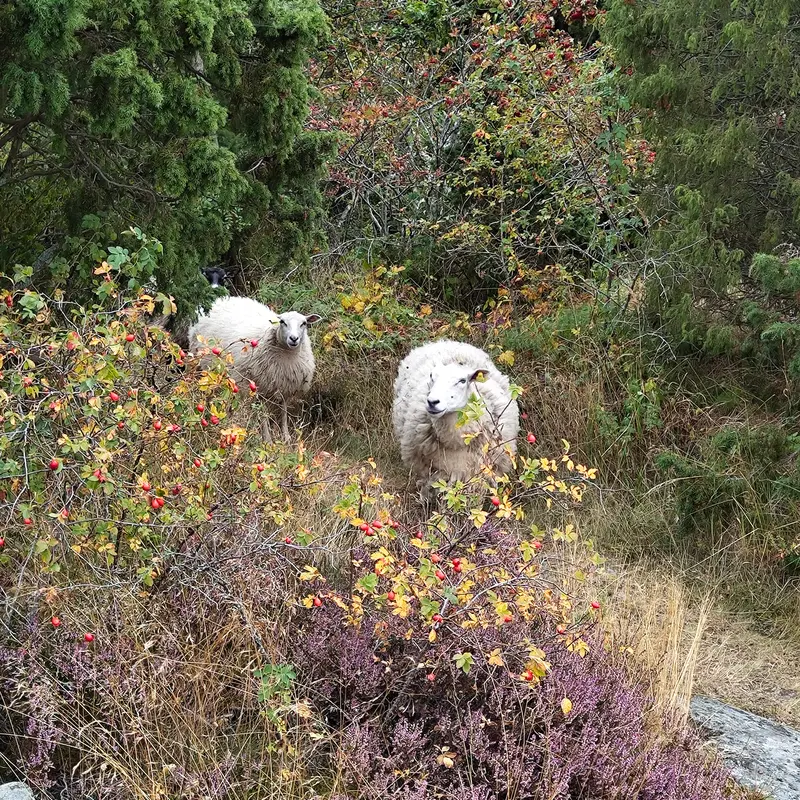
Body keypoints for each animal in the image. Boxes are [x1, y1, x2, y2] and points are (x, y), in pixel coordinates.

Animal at [188, 296, 321, 442]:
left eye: (304, 323)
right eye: (282, 322)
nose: (294, 338)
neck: (287, 355)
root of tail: (218, 300)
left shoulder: (285, 385)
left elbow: (284, 411)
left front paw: (286, 437)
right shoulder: (260, 386)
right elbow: (262, 414)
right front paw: (267, 439)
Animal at [392, 339, 519, 497]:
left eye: (462, 381)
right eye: (431, 376)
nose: (432, 402)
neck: (456, 441)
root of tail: (444, 341)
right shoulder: (431, 473)